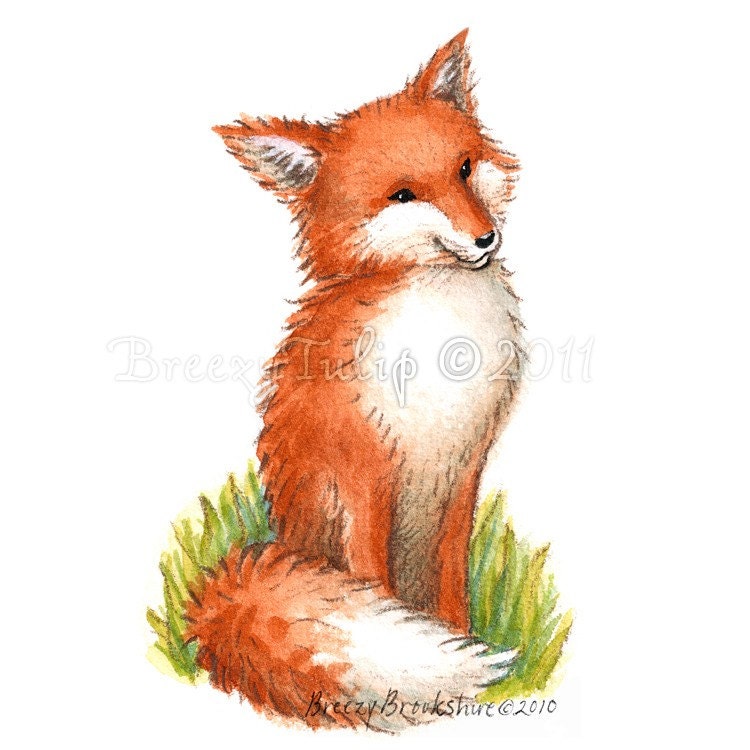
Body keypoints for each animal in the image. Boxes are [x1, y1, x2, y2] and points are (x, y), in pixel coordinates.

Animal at [185, 30, 525, 731]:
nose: (486, 238)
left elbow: (451, 581)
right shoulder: (363, 473)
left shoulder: (462, 467)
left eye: (463, 170)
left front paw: (462, 642)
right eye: (403, 196)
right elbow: (376, 585)